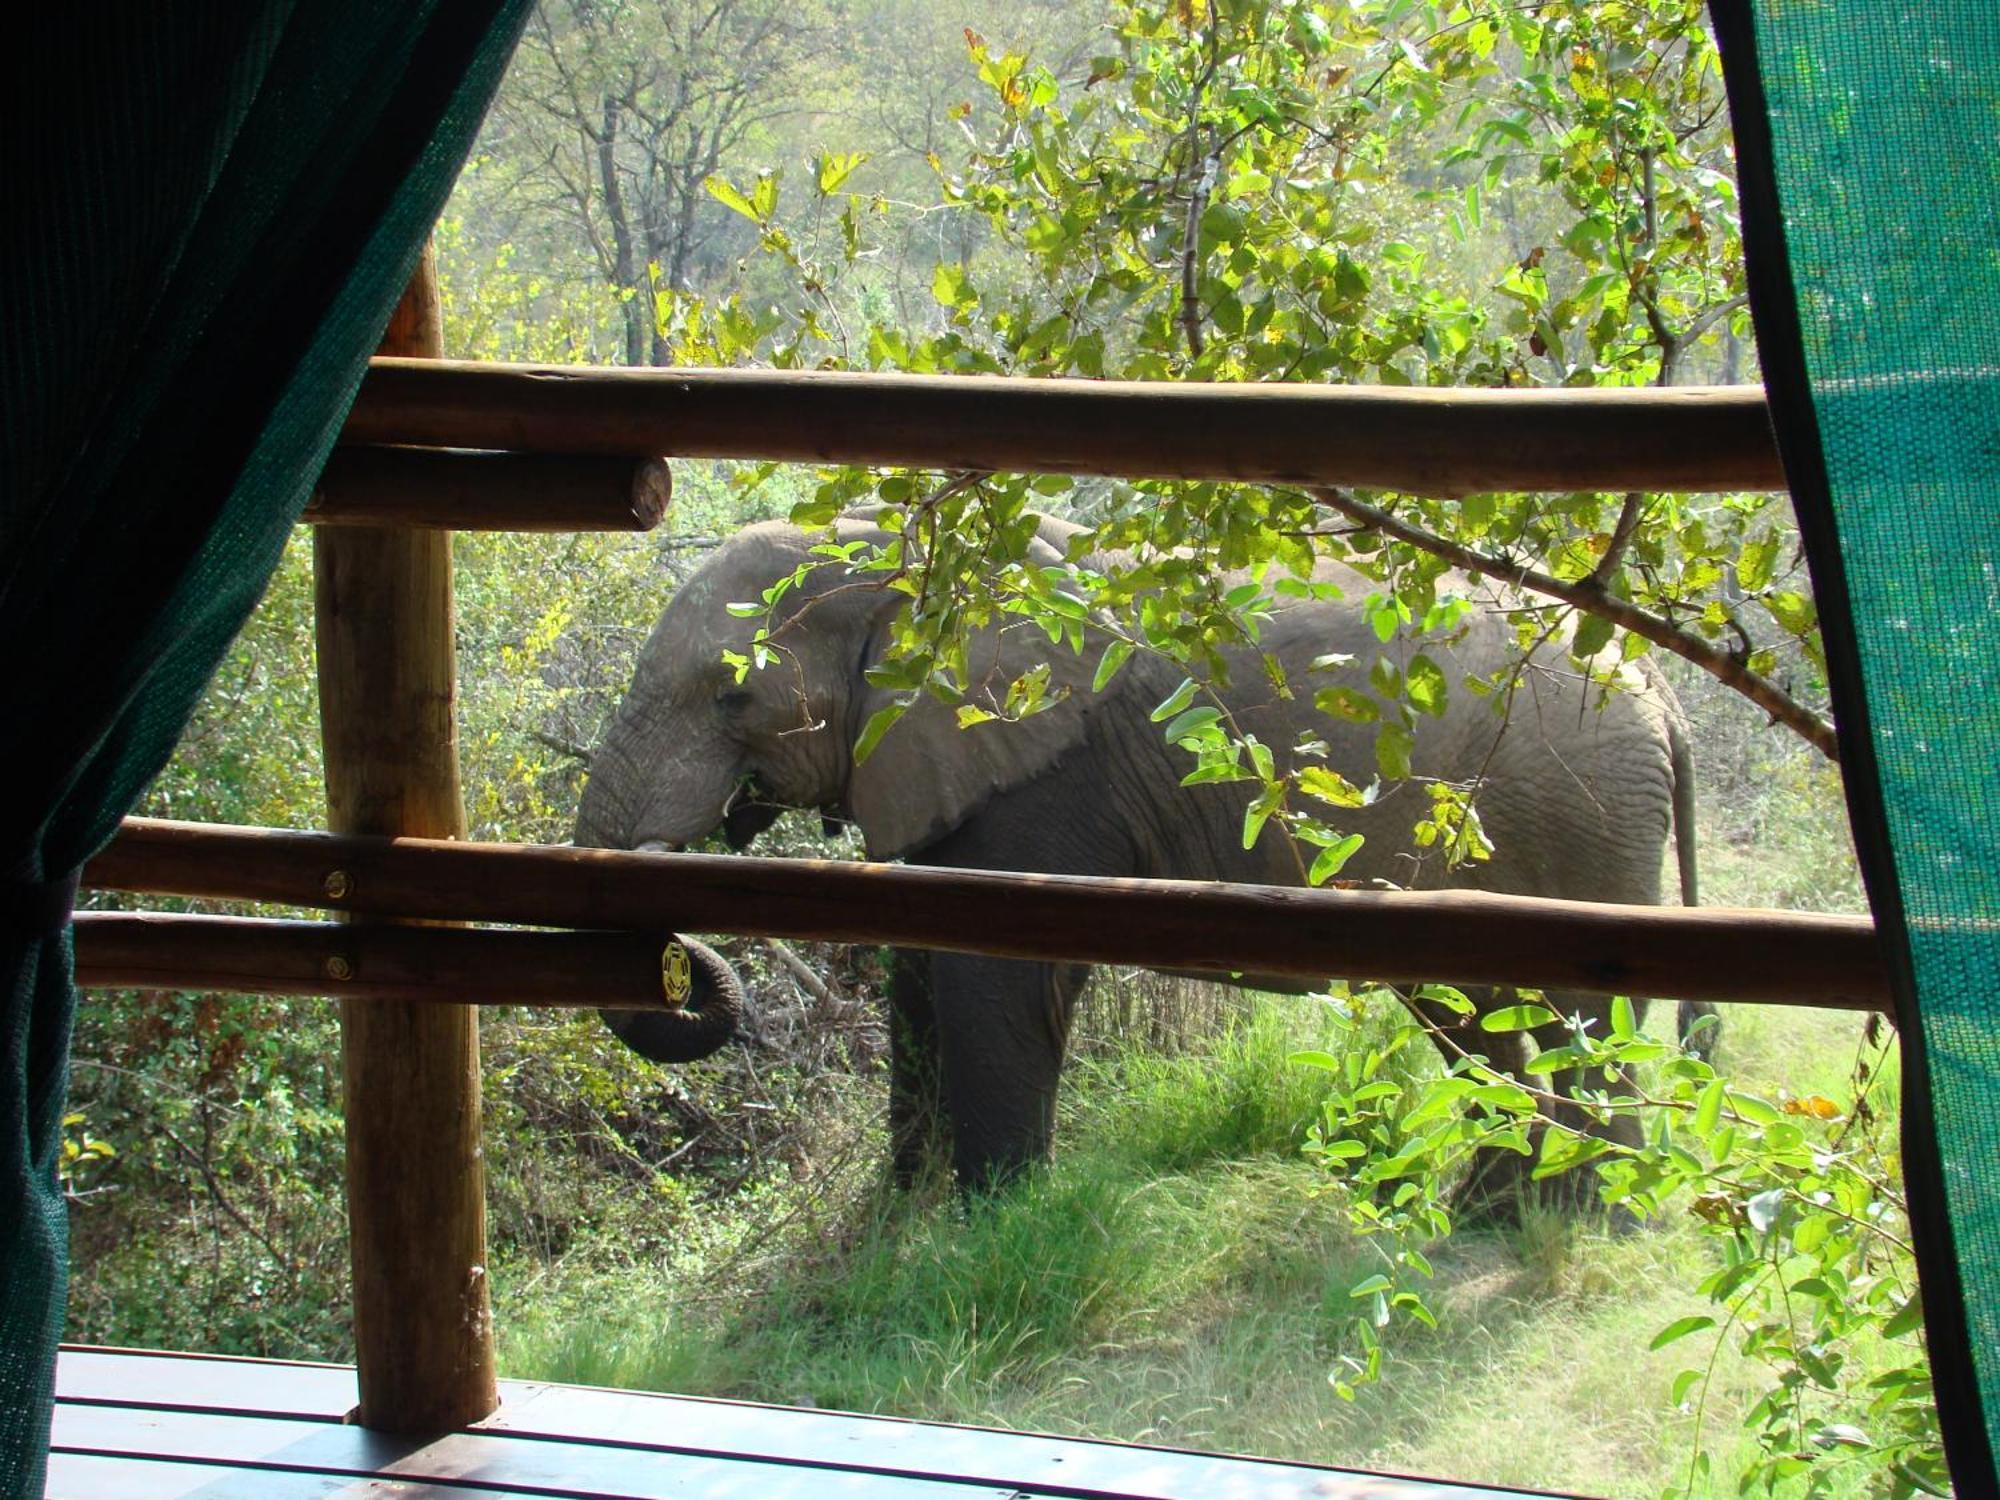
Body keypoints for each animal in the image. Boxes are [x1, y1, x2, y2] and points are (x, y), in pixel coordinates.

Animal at [576, 516, 1704, 1200]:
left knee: (1567, 1018)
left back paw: (1578, 1218)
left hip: (1567, 810)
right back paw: (1500, 1211)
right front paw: (904, 1226)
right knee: (1485, 1021)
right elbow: (916, 981)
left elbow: (989, 982)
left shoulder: (1033, 769)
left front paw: (988, 1229)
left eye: (731, 694)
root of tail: (1659, 686)